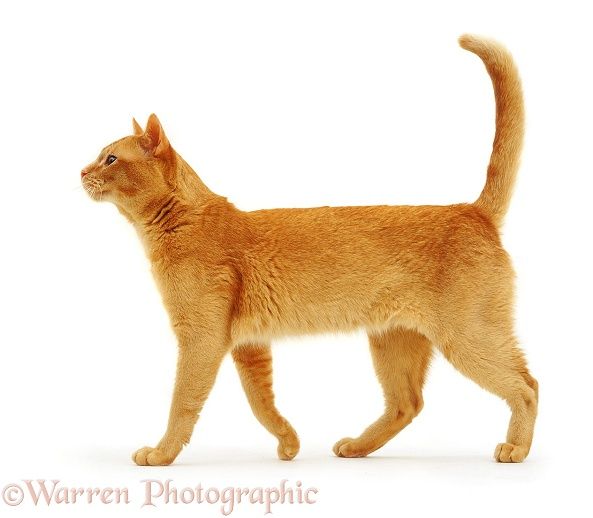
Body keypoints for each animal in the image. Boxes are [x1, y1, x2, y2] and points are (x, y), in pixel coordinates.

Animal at [82, 34, 536, 470]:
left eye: (110, 158)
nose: (82, 171)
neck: (184, 219)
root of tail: (471, 210)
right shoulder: (248, 344)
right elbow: (260, 401)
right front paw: (289, 442)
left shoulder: (202, 337)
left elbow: (183, 401)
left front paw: (162, 454)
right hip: (393, 338)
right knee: (408, 402)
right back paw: (357, 447)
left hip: (466, 333)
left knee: (527, 385)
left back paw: (516, 448)